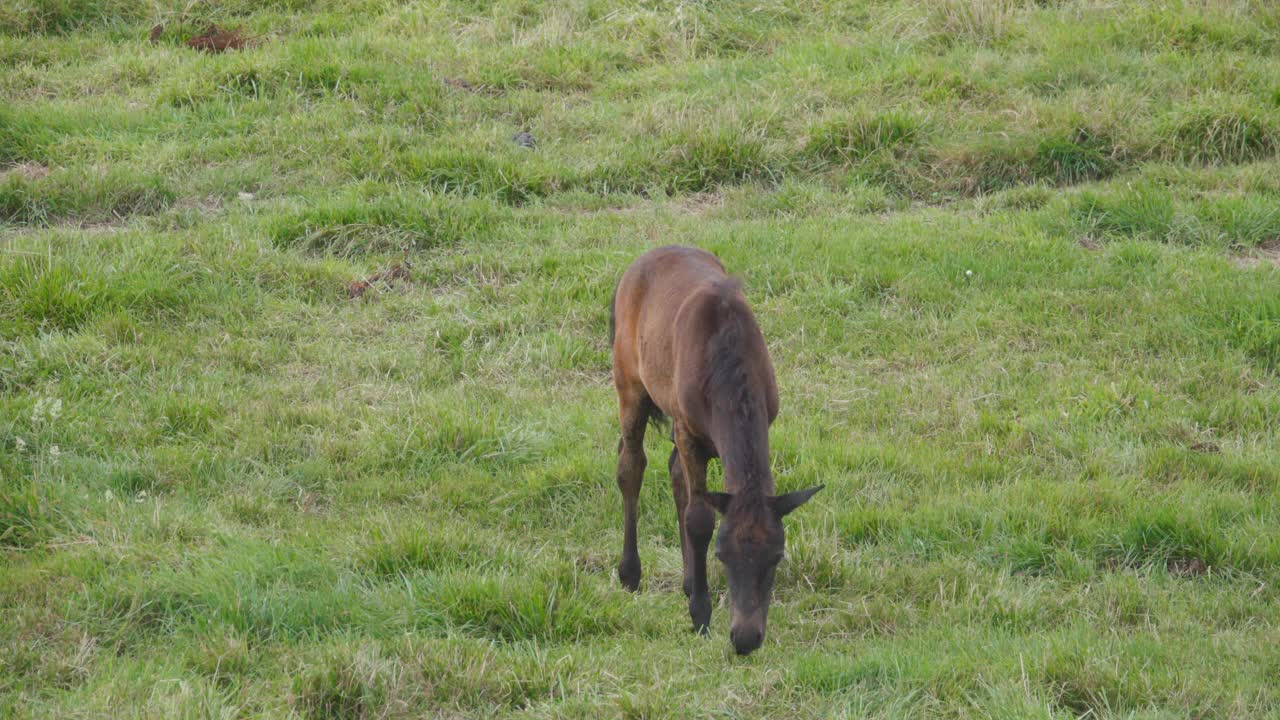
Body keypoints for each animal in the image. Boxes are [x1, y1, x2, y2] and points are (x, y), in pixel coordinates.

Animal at [606, 243, 819, 653]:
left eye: (777, 556)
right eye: (722, 554)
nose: (746, 638)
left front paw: (695, 596)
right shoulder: (688, 430)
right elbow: (699, 518)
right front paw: (700, 615)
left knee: (674, 473)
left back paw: (688, 581)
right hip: (629, 383)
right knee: (631, 464)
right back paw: (630, 573)